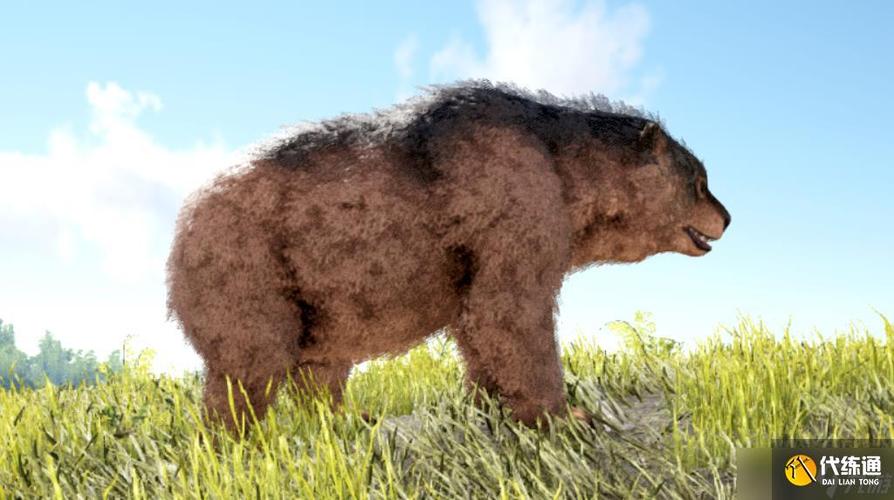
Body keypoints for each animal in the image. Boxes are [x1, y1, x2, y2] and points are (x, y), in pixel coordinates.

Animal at [165, 80, 731, 433]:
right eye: (700, 180)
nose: (726, 217)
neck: (567, 174)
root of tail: (184, 214)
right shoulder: (513, 199)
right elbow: (510, 313)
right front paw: (565, 417)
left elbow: (480, 326)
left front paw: (489, 406)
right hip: (245, 262)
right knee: (250, 364)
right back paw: (237, 443)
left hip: (318, 292)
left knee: (319, 364)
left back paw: (349, 419)